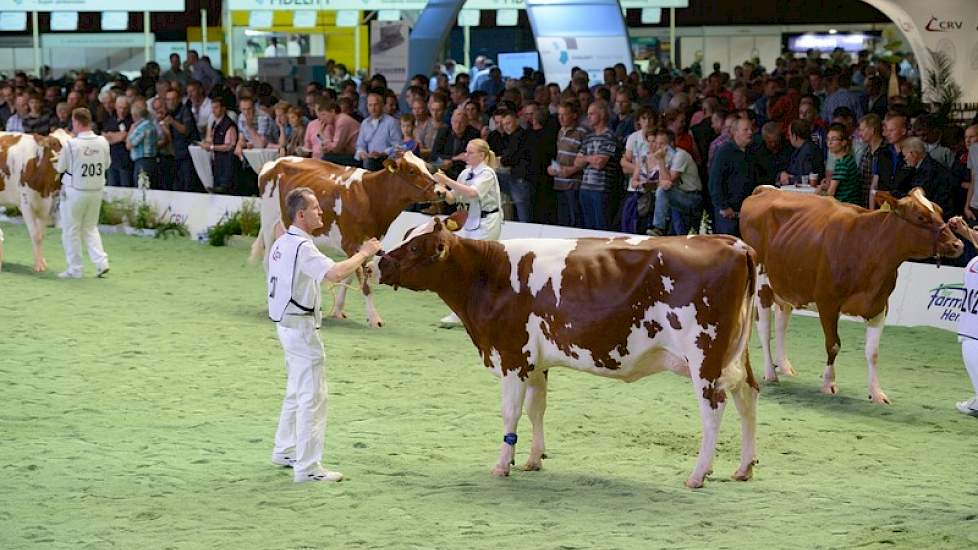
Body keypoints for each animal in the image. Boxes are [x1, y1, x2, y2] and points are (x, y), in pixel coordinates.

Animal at [0, 132, 71, 274]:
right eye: (55, 143)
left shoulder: (46, 205)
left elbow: (40, 235)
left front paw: (41, 262)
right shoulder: (25, 204)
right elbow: (35, 234)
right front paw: (38, 266)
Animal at [252, 153, 450, 328]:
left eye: (427, 167)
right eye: (411, 170)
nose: (441, 191)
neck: (371, 197)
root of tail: (274, 162)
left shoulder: (367, 244)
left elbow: (349, 276)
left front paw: (338, 310)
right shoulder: (352, 243)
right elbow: (365, 284)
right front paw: (374, 319)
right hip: (269, 220)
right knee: (267, 261)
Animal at [378, 218, 760, 490]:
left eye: (416, 247)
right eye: (407, 233)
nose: (380, 263)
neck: (490, 274)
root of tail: (732, 242)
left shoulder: (512, 356)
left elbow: (510, 413)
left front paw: (503, 464)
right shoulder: (535, 361)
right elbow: (537, 408)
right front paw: (533, 459)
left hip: (704, 357)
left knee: (714, 409)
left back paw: (698, 474)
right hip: (734, 357)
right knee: (747, 397)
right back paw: (743, 468)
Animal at [740, 187, 960, 406]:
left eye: (940, 211)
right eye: (921, 217)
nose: (957, 244)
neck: (869, 248)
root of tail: (766, 189)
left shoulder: (880, 306)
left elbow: (873, 352)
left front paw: (876, 393)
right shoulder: (827, 302)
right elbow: (833, 344)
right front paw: (829, 383)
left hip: (786, 284)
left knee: (781, 323)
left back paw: (784, 366)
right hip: (762, 284)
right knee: (764, 328)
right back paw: (770, 372)